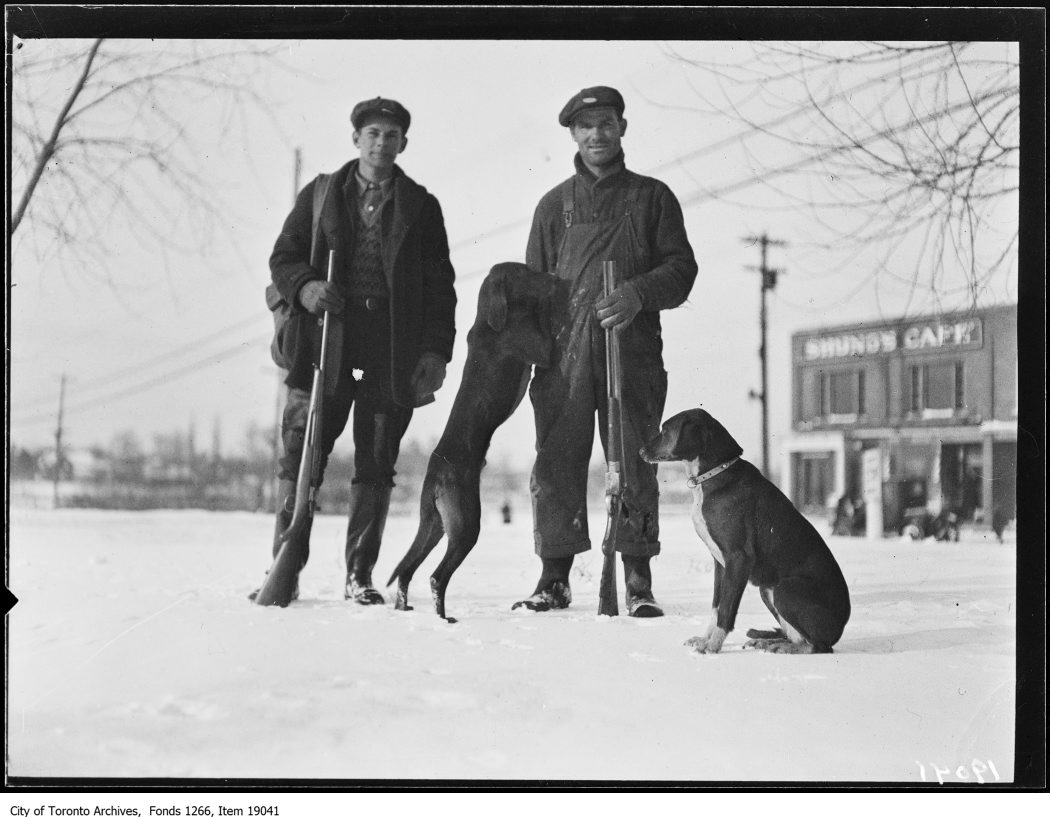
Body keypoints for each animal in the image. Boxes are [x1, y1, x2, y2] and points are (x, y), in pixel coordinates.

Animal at [382, 261, 554, 617]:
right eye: (525, 273)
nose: (556, 279)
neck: (491, 319)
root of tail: (435, 472)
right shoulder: (541, 350)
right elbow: (544, 328)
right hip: (465, 525)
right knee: (437, 576)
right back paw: (445, 618)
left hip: (435, 524)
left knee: (408, 570)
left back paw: (406, 609)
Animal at [638, 411, 852, 651]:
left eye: (665, 431)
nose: (640, 451)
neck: (714, 475)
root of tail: (840, 628)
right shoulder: (721, 563)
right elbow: (716, 605)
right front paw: (705, 639)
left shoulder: (739, 558)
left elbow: (726, 608)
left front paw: (713, 646)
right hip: (766, 590)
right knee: (797, 637)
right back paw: (768, 642)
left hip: (785, 588)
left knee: (819, 646)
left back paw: (784, 647)